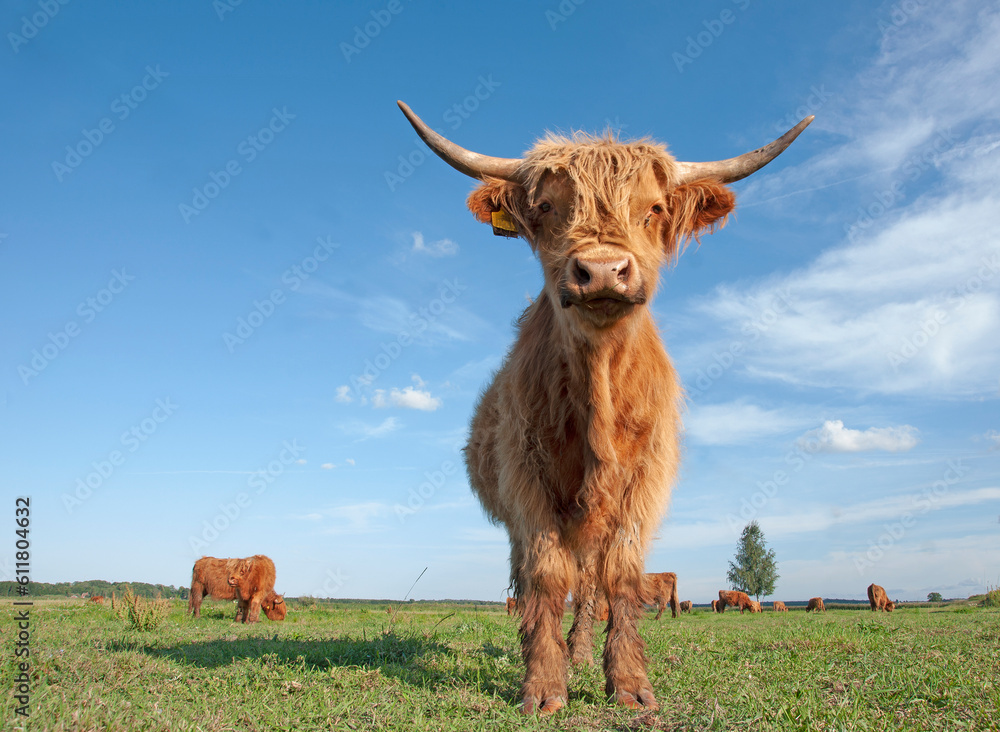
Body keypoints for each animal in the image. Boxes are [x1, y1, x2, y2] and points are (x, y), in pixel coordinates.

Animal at [398, 98, 812, 716]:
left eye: (654, 208)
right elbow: (546, 576)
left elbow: (619, 577)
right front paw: (543, 686)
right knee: (532, 578)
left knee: (590, 584)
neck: (599, 394)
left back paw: (581, 652)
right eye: (546, 207)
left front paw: (629, 683)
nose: (600, 271)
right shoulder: (526, 479)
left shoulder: (644, 481)